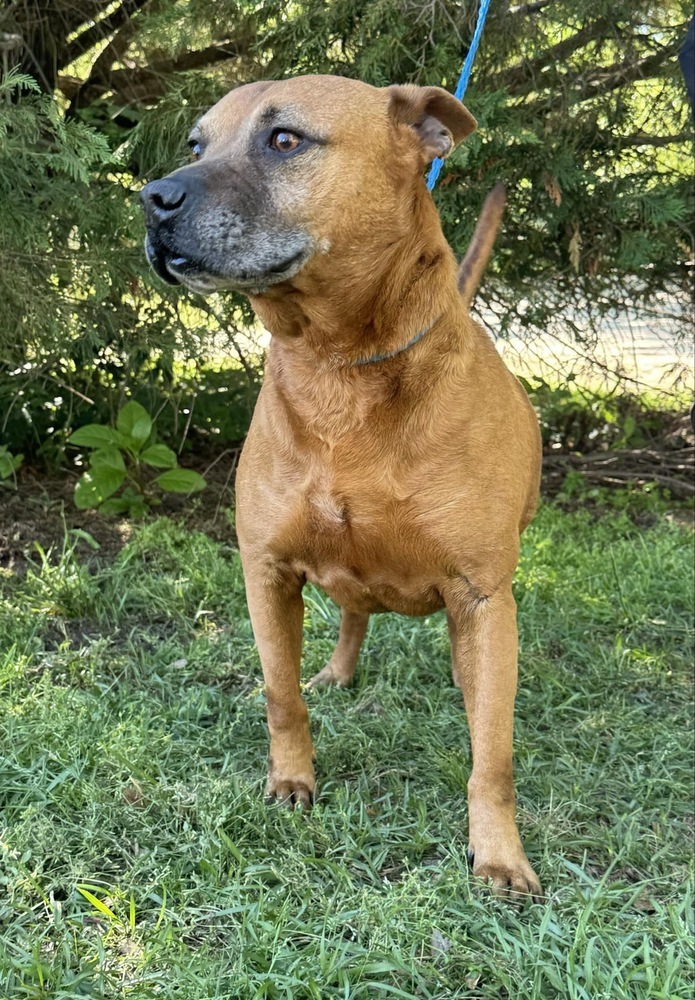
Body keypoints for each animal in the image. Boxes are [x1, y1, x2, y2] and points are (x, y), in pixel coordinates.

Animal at [140, 72, 544, 900]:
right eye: (196, 143)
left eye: (284, 139)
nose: (151, 197)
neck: (338, 367)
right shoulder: (265, 571)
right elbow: (278, 695)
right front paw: (291, 781)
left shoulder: (483, 595)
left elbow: (492, 754)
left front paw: (498, 854)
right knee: (354, 616)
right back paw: (338, 670)